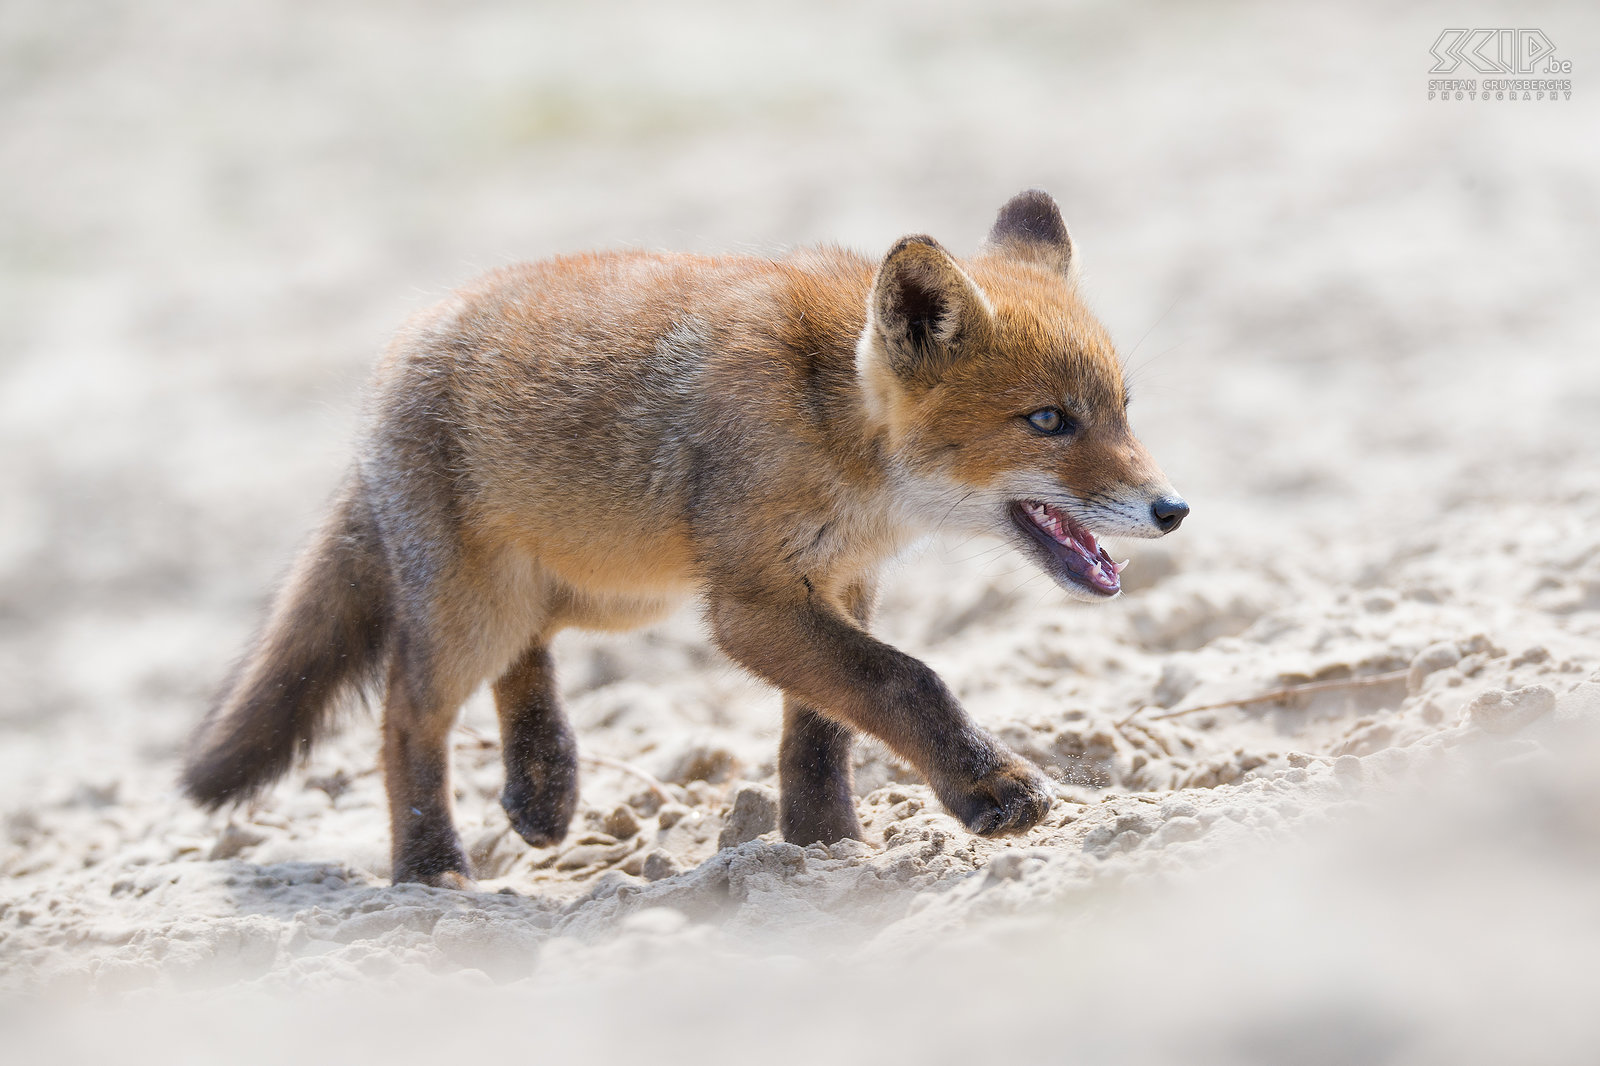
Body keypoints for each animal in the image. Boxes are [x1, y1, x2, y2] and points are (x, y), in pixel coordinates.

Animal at [184, 191, 1190, 889]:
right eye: (1049, 420)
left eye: (1121, 409)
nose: (1174, 509)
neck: (836, 428)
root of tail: (403, 348)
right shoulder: (752, 602)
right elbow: (906, 681)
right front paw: (989, 789)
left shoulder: (838, 581)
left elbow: (822, 727)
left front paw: (823, 845)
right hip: (483, 608)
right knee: (405, 715)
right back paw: (431, 867)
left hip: (609, 591)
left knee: (529, 652)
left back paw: (542, 784)